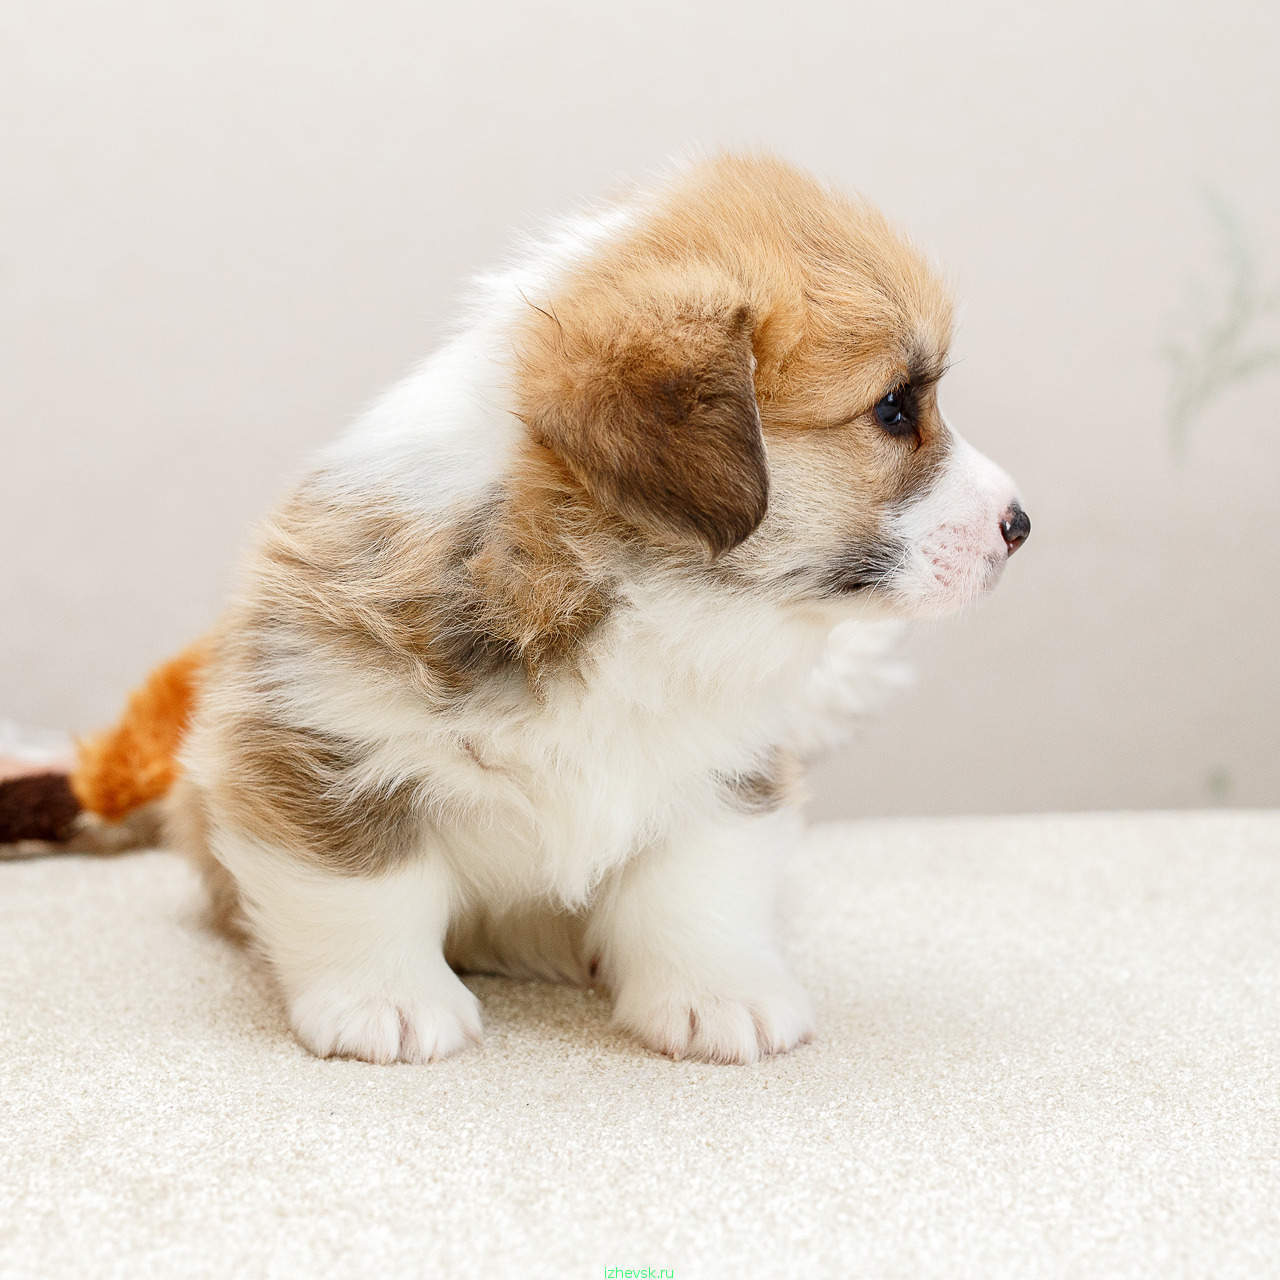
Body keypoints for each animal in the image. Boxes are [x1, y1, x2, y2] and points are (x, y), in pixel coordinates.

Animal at [169, 153, 1030, 1066]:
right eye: (895, 407)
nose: (1021, 525)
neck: (626, 596)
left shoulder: (721, 778)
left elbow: (694, 895)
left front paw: (718, 999)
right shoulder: (316, 740)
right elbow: (365, 891)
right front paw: (388, 1004)